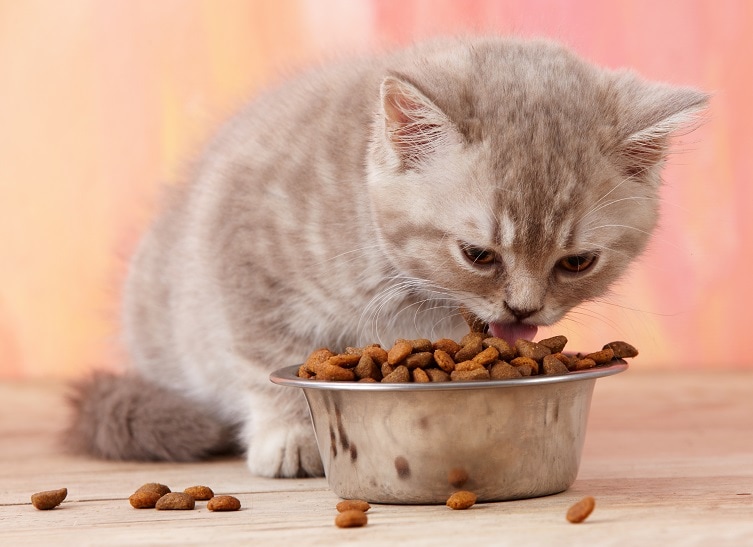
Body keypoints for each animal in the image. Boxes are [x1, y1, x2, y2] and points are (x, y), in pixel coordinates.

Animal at [64, 36, 704, 478]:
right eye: (477, 254)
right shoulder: (242, 244)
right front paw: (290, 433)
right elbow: (263, 352)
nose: (523, 311)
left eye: (576, 263)